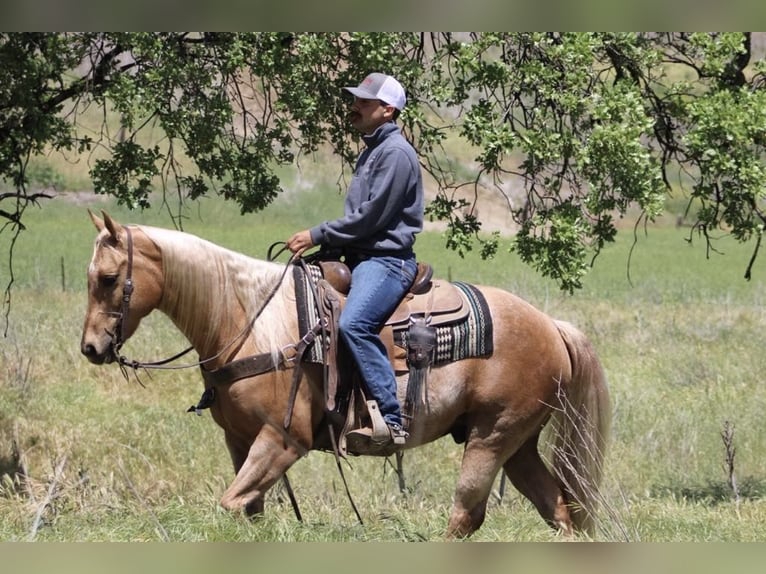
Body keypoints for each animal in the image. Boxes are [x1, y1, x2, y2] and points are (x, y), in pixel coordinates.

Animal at [80, 211, 611, 539]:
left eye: (109, 279)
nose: (91, 348)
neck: (250, 320)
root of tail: (551, 325)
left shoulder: (283, 440)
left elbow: (229, 504)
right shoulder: (239, 441)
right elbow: (247, 512)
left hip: (491, 437)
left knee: (467, 514)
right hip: (518, 443)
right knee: (557, 510)